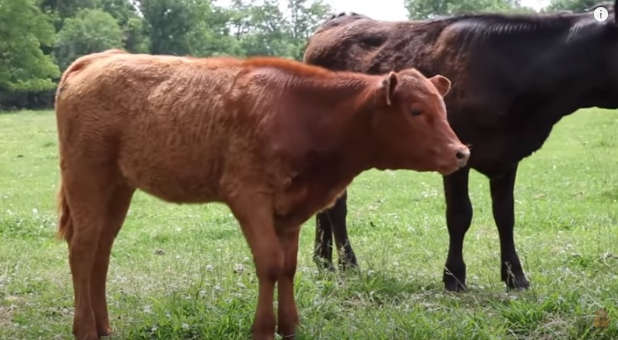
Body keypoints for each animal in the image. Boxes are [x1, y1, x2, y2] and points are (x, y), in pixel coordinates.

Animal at [55, 49, 466, 338]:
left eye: (444, 108)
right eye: (416, 110)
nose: (461, 152)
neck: (302, 114)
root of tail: (97, 59)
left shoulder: (292, 208)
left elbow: (287, 266)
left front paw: (291, 326)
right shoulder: (248, 196)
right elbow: (268, 263)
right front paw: (264, 329)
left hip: (117, 187)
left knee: (101, 252)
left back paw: (104, 326)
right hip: (86, 177)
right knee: (82, 250)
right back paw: (85, 329)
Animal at [304, 1, 616, 290]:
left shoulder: (507, 158)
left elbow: (506, 215)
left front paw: (515, 277)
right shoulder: (456, 154)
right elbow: (459, 214)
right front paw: (454, 277)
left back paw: (324, 261)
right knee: (337, 206)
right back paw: (349, 264)